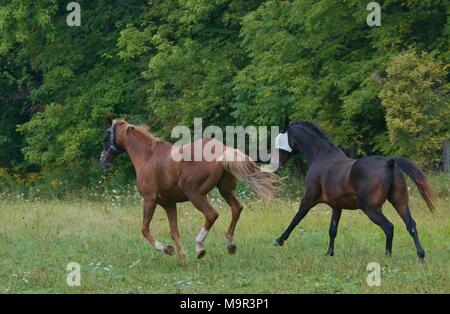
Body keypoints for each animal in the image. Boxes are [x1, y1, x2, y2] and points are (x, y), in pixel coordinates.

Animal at [99, 118, 276, 262]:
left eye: (106, 136)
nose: (102, 159)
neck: (147, 157)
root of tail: (223, 149)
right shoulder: (169, 204)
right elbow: (174, 231)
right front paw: (182, 257)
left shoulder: (149, 200)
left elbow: (144, 229)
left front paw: (166, 249)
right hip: (225, 190)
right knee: (236, 208)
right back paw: (230, 244)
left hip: (195, 194)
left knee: (212, 214)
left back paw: (200, 247)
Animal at [268, 120, 434, 260]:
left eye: (278, 142)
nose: (274, 163)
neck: (321, 156)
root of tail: (389, 162)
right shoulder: (336, 206)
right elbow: (332, 230)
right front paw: (329, 253)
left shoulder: (309, 199)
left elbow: (296, 219)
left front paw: (279, 240)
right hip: (400, 203)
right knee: (411, 225)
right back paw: (421, 255)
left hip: (371, 208)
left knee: (389, 227)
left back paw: (387, 255)